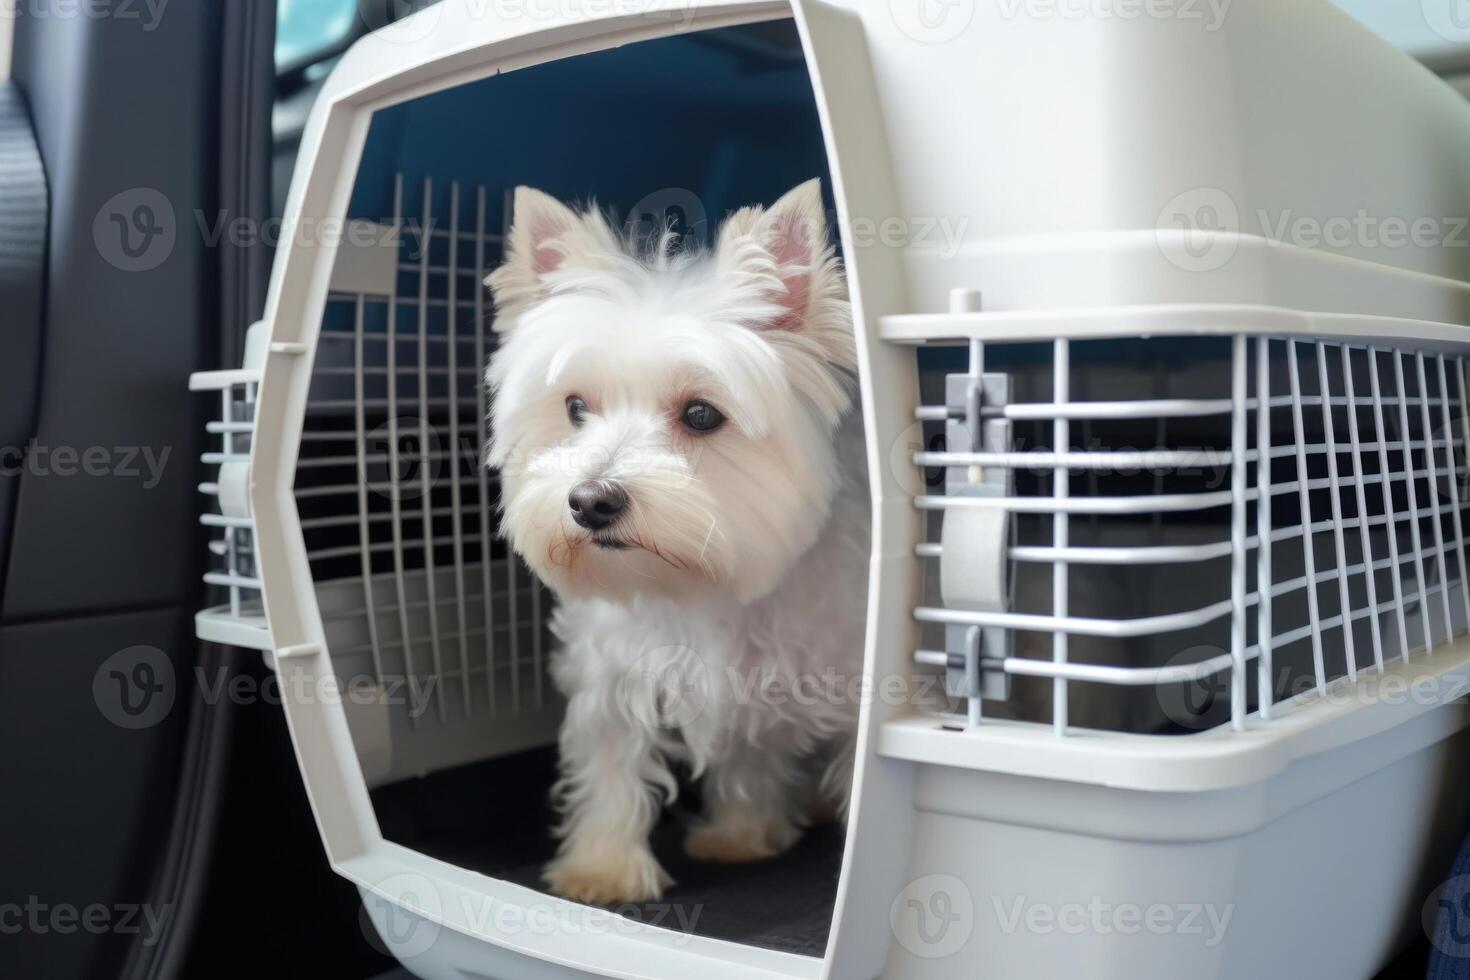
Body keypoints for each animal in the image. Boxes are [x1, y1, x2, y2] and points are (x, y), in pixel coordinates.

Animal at [482, 182, 870, 905]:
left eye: (700, 414)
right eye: (575, 407)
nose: (590, 501)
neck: (704, 582)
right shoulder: (613, 668)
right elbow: (614, 758)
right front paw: (605, 868)